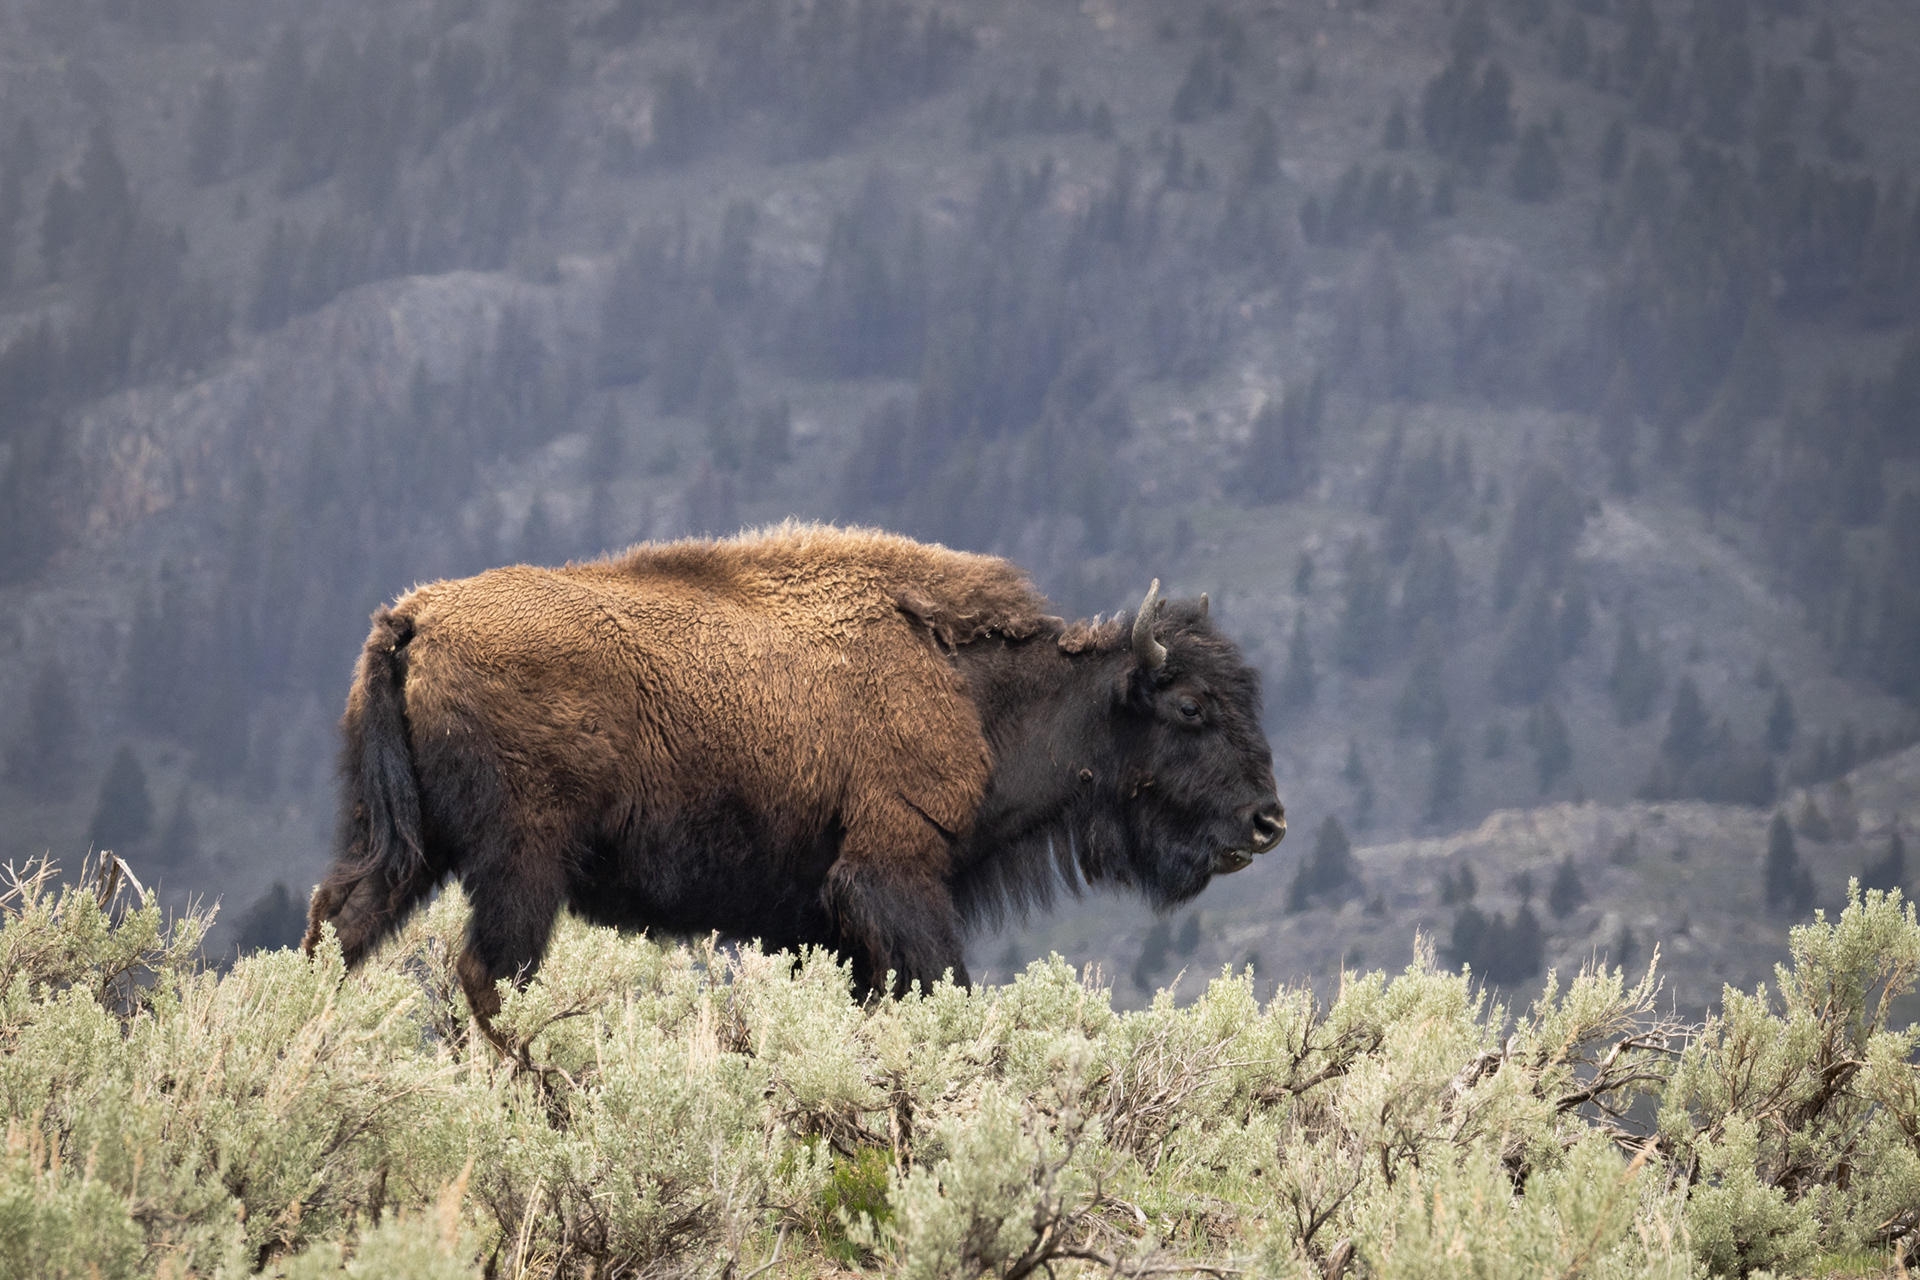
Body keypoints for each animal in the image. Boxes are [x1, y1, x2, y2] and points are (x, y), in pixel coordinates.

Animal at [303, 523, 1284, 1038]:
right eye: (1190, 706)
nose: (1268, 823)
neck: (970, 690)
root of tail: (415, 617)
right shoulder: (892, 874)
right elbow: (944, 985)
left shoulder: (831, 924)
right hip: (521, 862)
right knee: (486, 973)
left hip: (405, 845)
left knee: (338, 929)